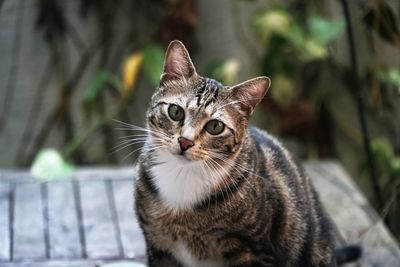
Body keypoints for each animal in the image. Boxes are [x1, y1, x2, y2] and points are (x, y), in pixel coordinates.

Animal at [134, 40, 360, 267]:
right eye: (175, 111)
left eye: (215, 126)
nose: (185, 142)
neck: (182, 178)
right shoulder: (157, 245)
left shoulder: (253, 250)